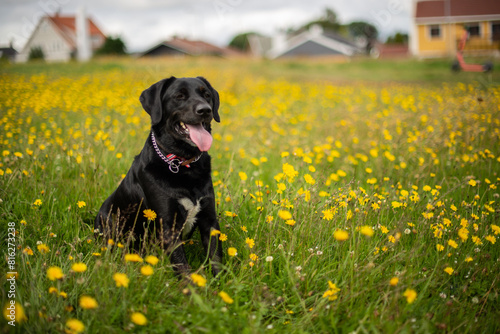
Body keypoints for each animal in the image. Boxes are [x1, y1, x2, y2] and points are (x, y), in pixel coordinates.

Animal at [95, 76, 223, 276]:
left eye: (207, 95)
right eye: (179, 96)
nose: (205, 110)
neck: (183, 165)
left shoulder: (209, 219)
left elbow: (216, 257)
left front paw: (222, 282)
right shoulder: (168, 225)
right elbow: (182, 266)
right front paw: (191, 284)